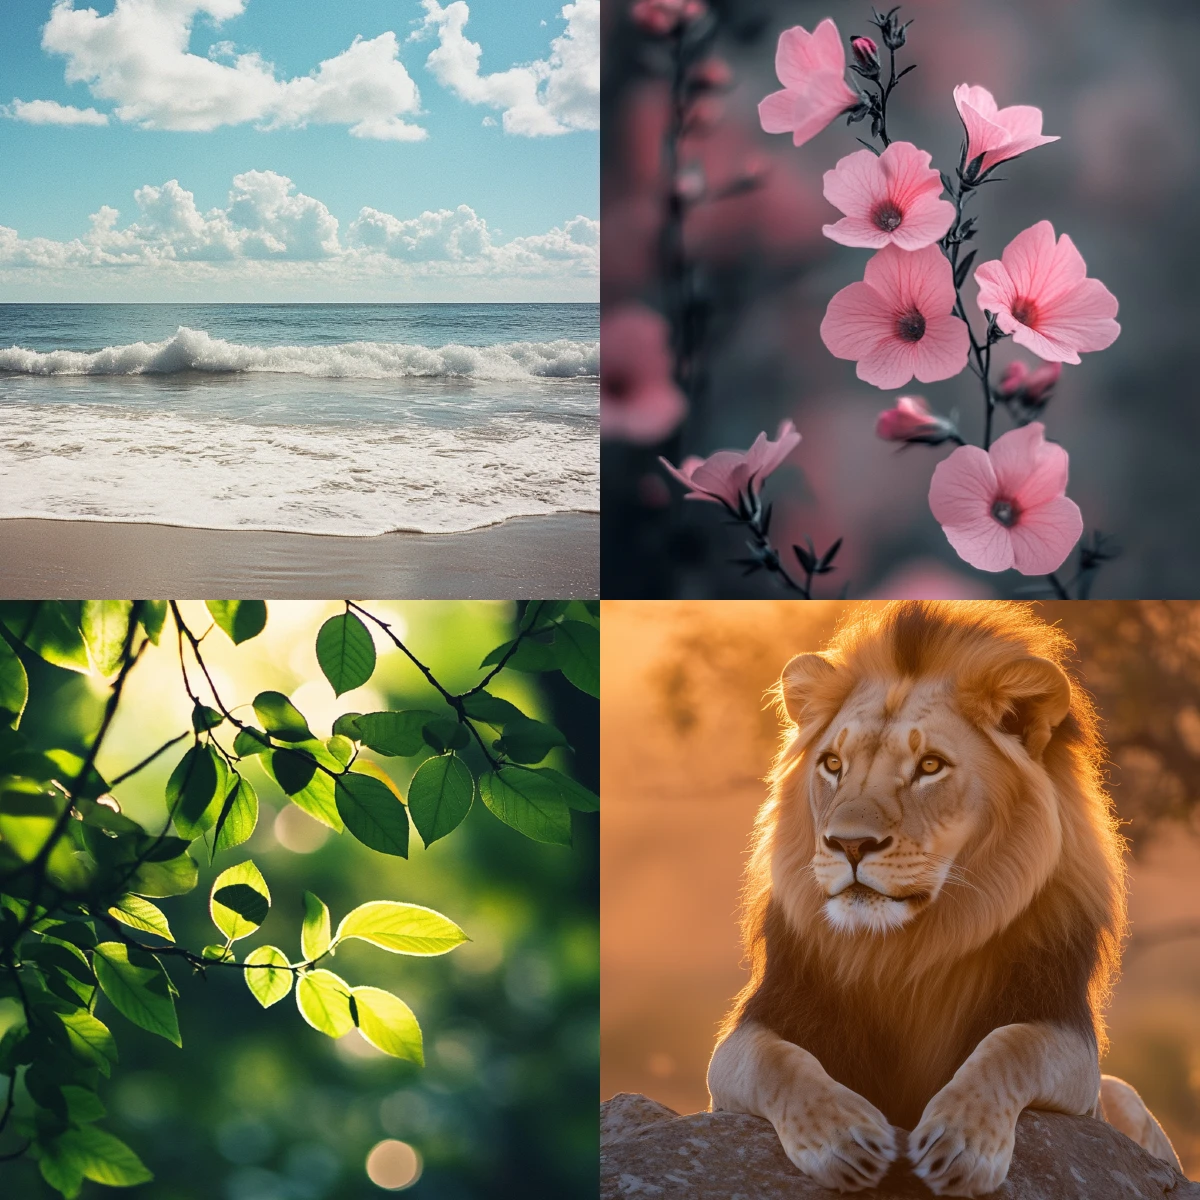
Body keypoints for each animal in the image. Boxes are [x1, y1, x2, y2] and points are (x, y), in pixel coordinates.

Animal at [705, 604, 1176, 1195]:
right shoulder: (744, 1041)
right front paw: (846, 1141)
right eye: (833, 764)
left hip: (1124, 1096)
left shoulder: (1073, 1048)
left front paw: (961, 1145)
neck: (908, 947)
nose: (848, 844)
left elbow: (1011, 1045)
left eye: (930, 766)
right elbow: (780, 1062)